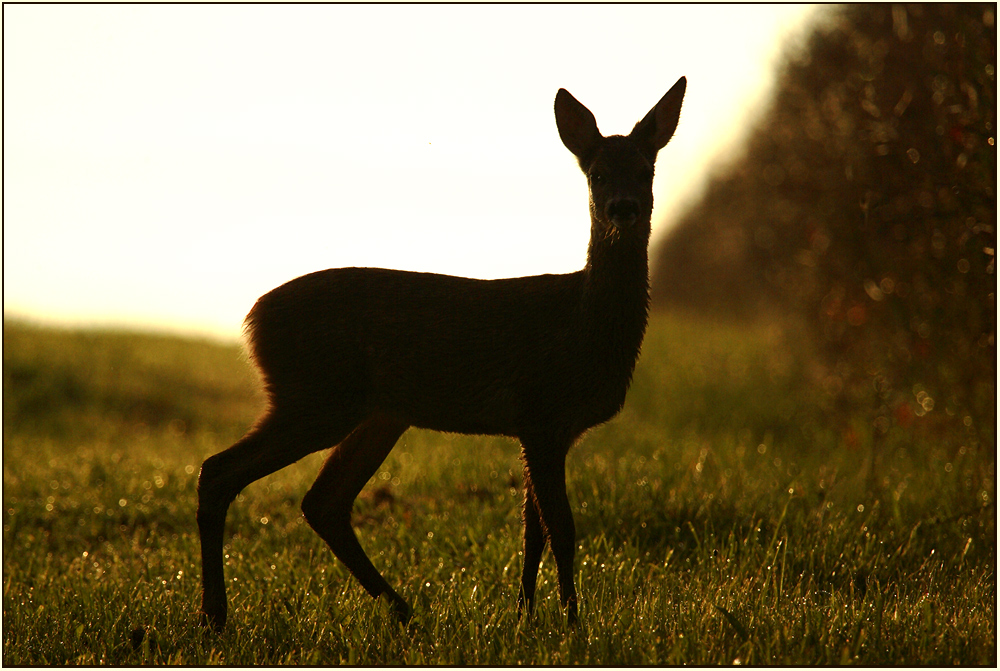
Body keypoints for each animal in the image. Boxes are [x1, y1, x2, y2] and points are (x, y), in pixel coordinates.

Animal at [201, 76, 688, 632]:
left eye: (647, 170)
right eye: (598, 173)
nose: (622, 209)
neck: (586, 326)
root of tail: (252, 319)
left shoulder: (545, 429)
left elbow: (533, 531)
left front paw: (524, 615)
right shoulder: (542, 413)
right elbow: (561, 530)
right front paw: (572, 625)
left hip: (377, 411)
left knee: (322, 500)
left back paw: (403, 610)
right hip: (315, 396)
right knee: (219, 472)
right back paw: (217, 615)